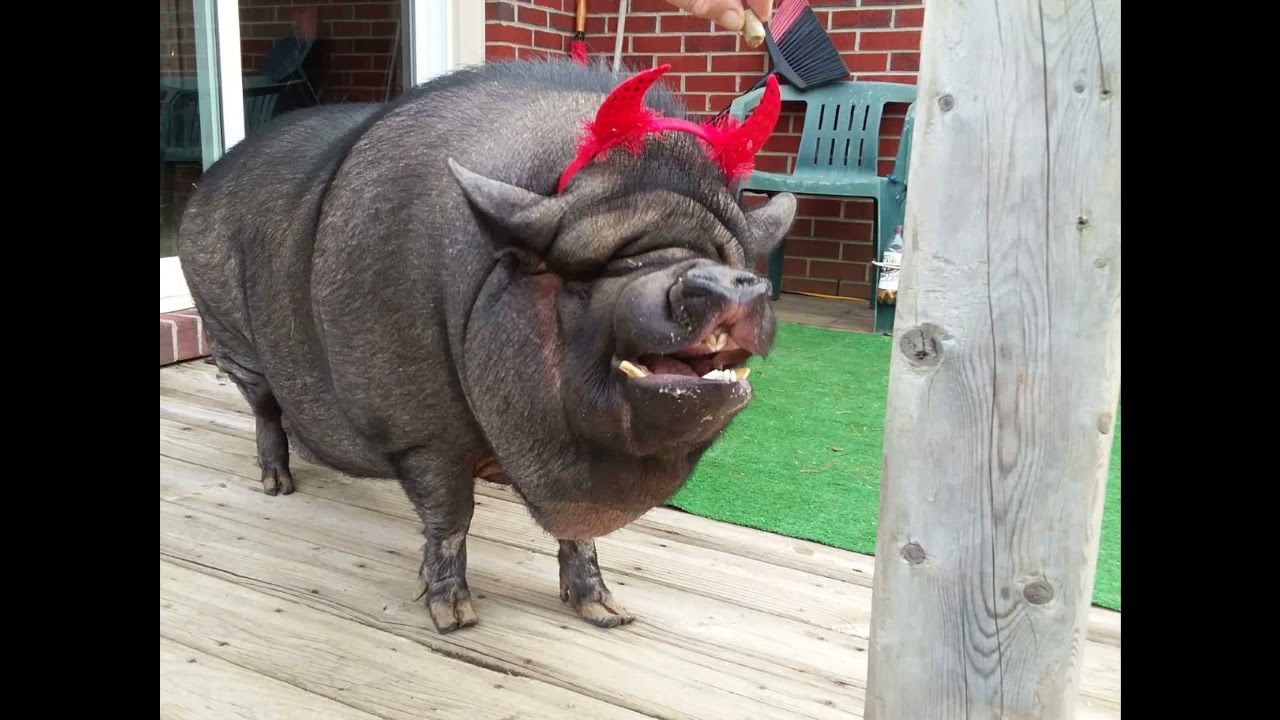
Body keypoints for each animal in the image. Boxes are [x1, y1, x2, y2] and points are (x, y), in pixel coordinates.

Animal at [177, 58, 796, 633]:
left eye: (722, 256)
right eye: (604, 271)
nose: (731, 282)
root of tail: (206, 183)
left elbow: (578, 539)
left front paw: (611, 614)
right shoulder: (421, 430)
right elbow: (452, 516)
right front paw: (455, 618)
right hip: (229, 333)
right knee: (265, 410)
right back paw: (277, 487)